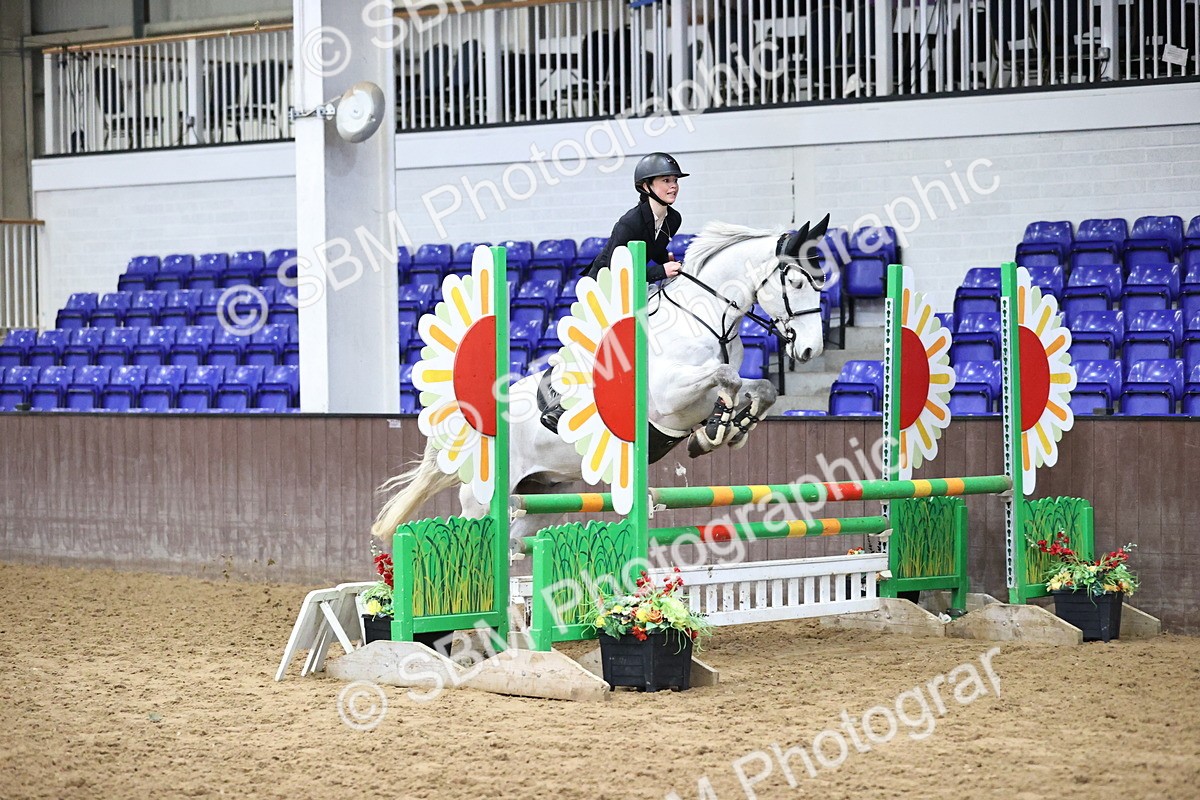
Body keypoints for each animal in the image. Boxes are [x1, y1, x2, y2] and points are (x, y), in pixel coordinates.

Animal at [371, 215, 830, 543]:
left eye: (822, 282)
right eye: (794, 282)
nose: (810, 350)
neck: (705, 319)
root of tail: (469, 417)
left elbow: (757, 387)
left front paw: (731, 428)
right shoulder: (669, 399)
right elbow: (725, 376)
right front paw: (717, 431)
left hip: (544, 494)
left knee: (516, 545)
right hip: (484, 497)